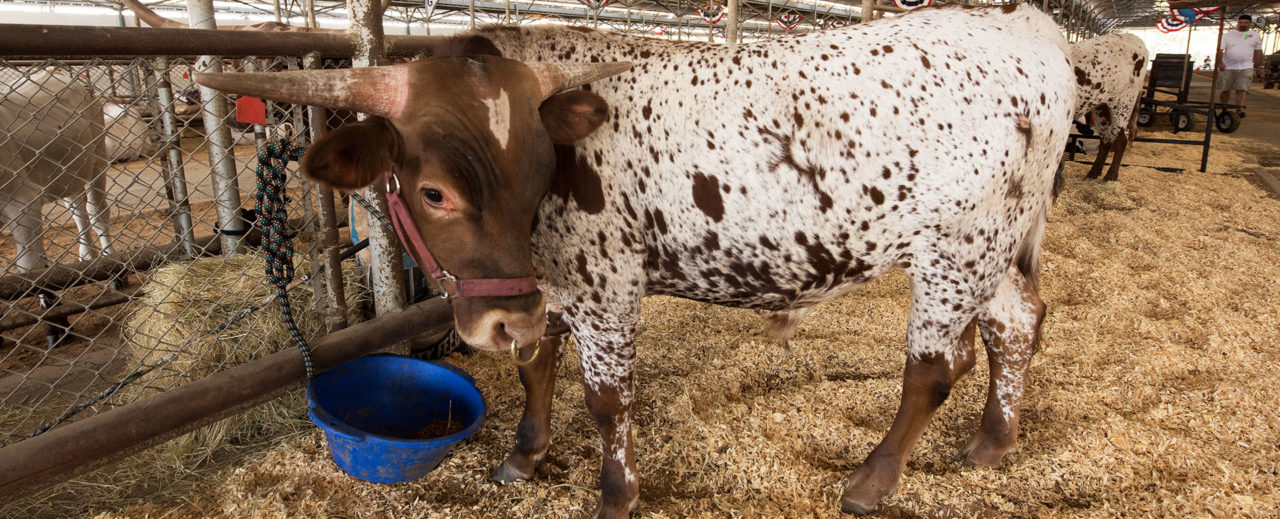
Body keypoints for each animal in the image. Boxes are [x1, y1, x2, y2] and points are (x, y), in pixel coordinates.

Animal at [199, 3, 1075, 512]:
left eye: (539, 173)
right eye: (434, 191)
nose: (494, 321)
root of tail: (1027, 24)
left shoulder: (604, 287)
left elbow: (606, 399)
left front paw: (615, 493)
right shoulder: (548, 288)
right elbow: (536, 365)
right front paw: (524, 454)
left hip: (959, 247)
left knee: (933, 367)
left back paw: (871, 480)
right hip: (994, 249)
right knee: (1016, 326)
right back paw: (992, 443)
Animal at [1070, 32, 1152, 181]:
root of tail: (1131, 37)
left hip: (1123, 103)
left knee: (1121, 138)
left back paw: (1111, 175)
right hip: (1102, 107)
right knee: (1106, 139)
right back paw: (1093, 173)